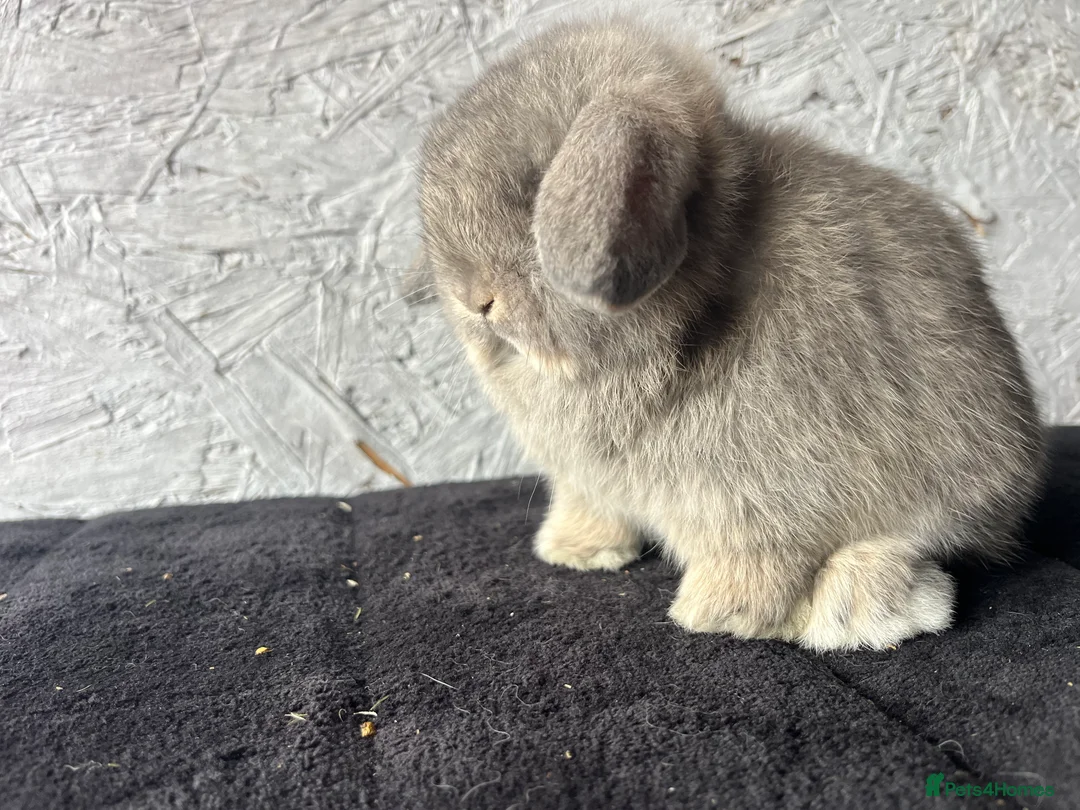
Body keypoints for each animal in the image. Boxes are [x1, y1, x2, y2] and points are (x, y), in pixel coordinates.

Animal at [412, 17, 1047, 651]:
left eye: (536, 191)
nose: (474, 300)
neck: (690, 318)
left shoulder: (759, 500)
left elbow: (759, 561)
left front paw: (717, 613)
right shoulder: (586, 482)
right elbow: (594, 510)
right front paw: (572, 552)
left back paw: (857, 607)